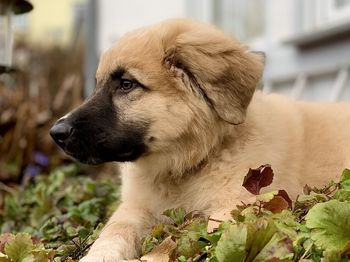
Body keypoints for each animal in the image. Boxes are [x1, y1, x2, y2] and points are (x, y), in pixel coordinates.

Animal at [49, 17, 350, 260]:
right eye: (98, 85)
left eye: (126, 84)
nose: (56, 133)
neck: (187, 165)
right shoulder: (134, 209)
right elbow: (112, 234)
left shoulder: (239, 207)